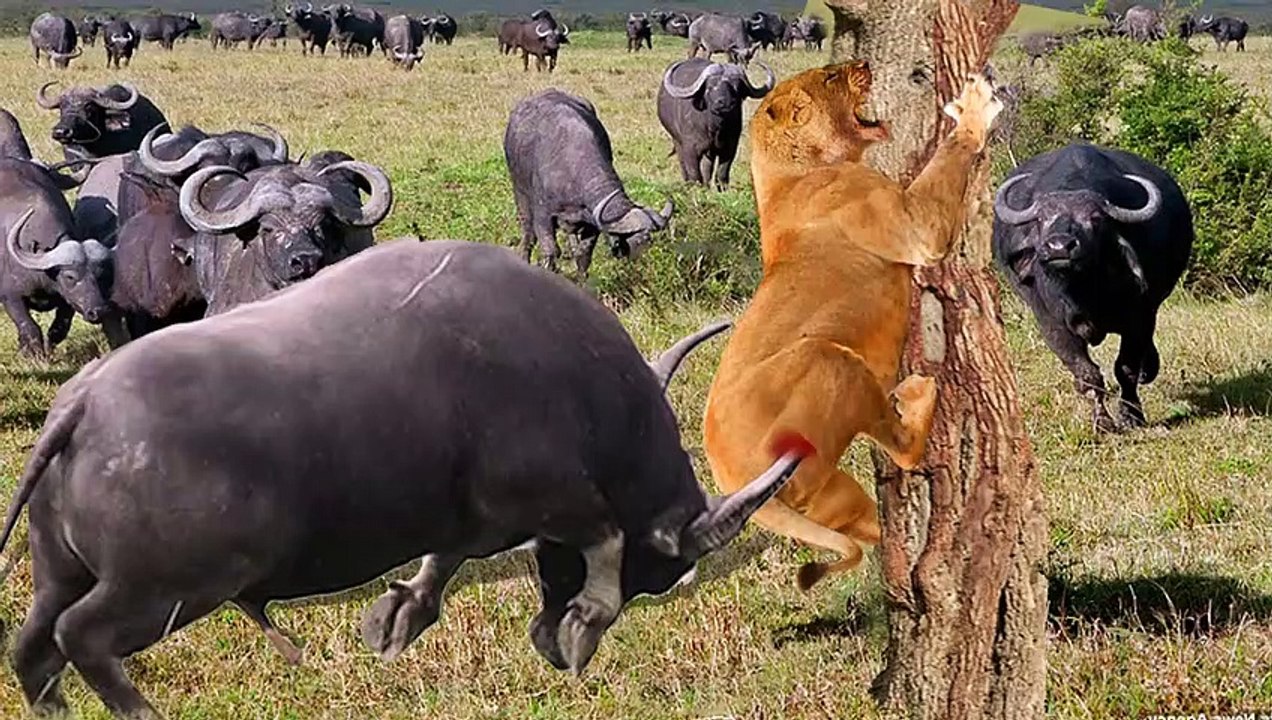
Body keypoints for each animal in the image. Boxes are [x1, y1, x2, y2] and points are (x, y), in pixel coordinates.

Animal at [506, 89, 673, 278]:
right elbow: (550, 250)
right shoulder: (543, 215)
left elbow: (584, 253)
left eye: (653, 241)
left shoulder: (591, 223)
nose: (646, 267)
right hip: (519, 190)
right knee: (527, 230)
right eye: (638, 241)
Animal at [658, 59, 775, 190]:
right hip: (677, 141)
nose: (726, 103)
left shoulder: (730, 147)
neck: (714, 128)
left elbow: (722, 173)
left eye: (737, 87)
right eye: (711, 86)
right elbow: (694, 174)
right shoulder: (689, 149)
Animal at [702, 62, 1003, 590]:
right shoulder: (916, 226)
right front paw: (973, 109)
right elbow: (948, 156)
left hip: (833, 496)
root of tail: (733, 483)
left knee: (875, 536)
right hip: (827, 359)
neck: (791, 176)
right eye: (829, 76)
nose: (864, 66)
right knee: (904, 452)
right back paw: (916, 395)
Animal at [992, 143, 1192, 432]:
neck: (1083, 291)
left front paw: (1131, 416)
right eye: (1041, 219)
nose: (1059, 247)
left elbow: (1126, 369)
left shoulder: (1141, 316)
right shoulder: (1051, 324)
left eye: (1095, 218)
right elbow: (1087, 374)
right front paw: (1103, 422)